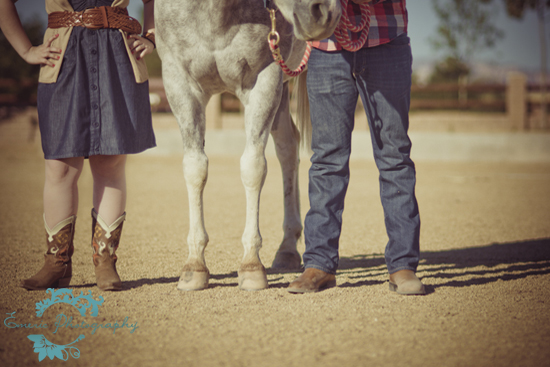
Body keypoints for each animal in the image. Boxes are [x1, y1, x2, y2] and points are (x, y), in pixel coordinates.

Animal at [155, 1, 342, 292]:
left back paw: (287, 247)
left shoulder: (266, 78)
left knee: (286, 151)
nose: (323, 12)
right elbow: (195, 168)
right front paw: (194, 265)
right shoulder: (179, 82)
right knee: (288, 146)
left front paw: (251, 265)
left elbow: (253, 167)